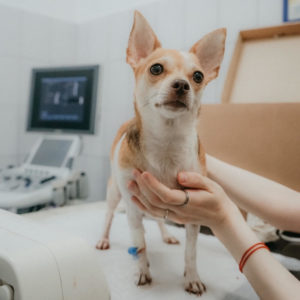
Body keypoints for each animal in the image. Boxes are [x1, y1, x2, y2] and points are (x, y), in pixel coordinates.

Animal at [96, 9, 225, 296]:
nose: (182, 84)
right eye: (156, 68)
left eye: (198, 76)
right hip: (114, 192)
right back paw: (103, 238)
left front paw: (192, 278)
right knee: (109, 216)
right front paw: (142, 271)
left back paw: (167, 235)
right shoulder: (133, 208)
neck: (167, 142)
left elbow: (191, 252)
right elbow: (140, 245)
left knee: (158, 219)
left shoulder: (194, 217)